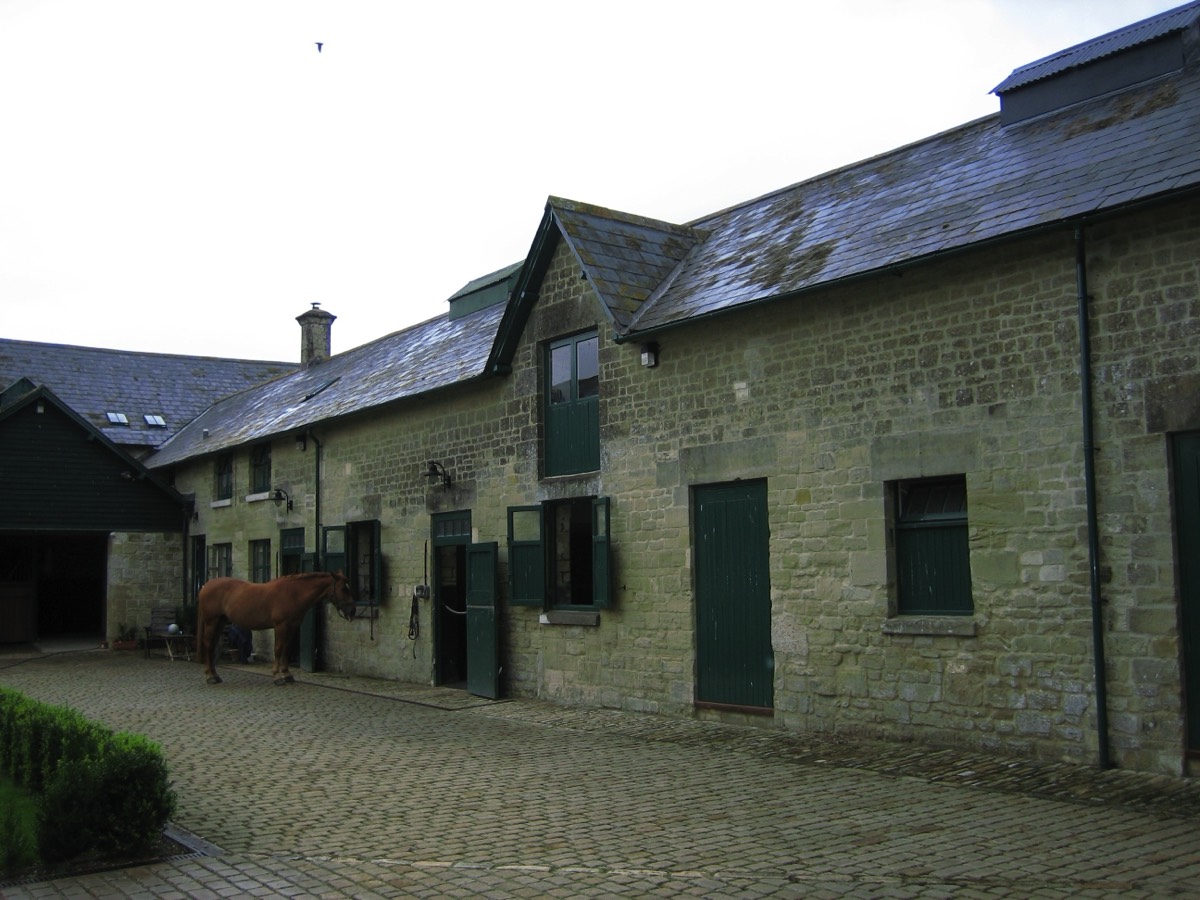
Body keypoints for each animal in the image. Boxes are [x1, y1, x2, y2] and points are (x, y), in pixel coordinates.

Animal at [196, 573, 352, 686]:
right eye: (343, 589)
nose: (352, 610)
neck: (293, 594)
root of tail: (205, 586)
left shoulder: (291, 627)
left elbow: (286, 650)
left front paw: (287, 675)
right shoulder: (280, 626)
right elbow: (278, 649)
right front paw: (277, 677)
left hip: (220, 622)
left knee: (212, 646)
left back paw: (215, 675)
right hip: (211, 622)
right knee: (208, 646)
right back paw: (210, 677)